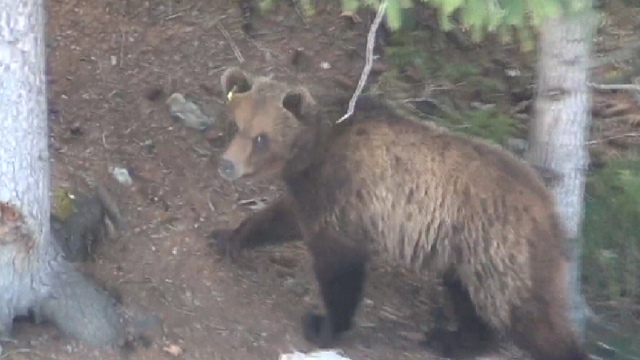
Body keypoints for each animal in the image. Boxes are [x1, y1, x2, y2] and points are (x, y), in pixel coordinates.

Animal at [210, 66, 592, 360]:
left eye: (261, 138)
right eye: (237, 126)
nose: (227, 166)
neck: (313, 150)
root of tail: (549, 208)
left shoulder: (345, 196)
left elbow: (340, 269)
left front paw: (323, 325)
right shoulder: (313, 192)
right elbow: (281, 218)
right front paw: (228, 237)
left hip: (500, 247)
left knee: (530, 315)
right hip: (468, 254)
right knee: (469, 298)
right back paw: (452, 339)